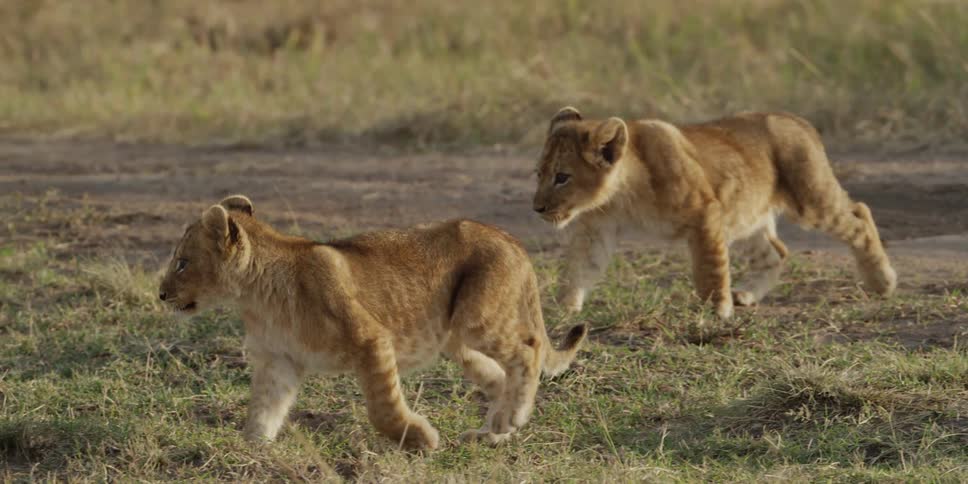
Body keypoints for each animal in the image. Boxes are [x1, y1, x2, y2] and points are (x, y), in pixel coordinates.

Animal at [158, 195, 587, 449]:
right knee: (499, 376)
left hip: (479, 318)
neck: (256, 298)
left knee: (528, 350)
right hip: (458, 340)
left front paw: (420, 438)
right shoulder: (279, 360)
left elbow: (382, 409)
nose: (160, 294)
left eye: (182, 263)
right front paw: (253, 450)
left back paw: (510, 418)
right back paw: (495, 429)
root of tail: (513, 240)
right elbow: (264, 407)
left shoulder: (371, 339)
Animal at [532, 107, 897, 318]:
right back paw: (747, 295)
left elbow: (708, 267)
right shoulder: (597, 227)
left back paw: (882, 281)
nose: (537, 208)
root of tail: (798, 120)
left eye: (562, 177)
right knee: (775, 252)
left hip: (809, 198)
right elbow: (580, 266)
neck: (623, 194)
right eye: (539, 173)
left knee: (859, 214)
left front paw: (716, 310)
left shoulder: (704, 212)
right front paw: (563, 310)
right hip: (745, 215)